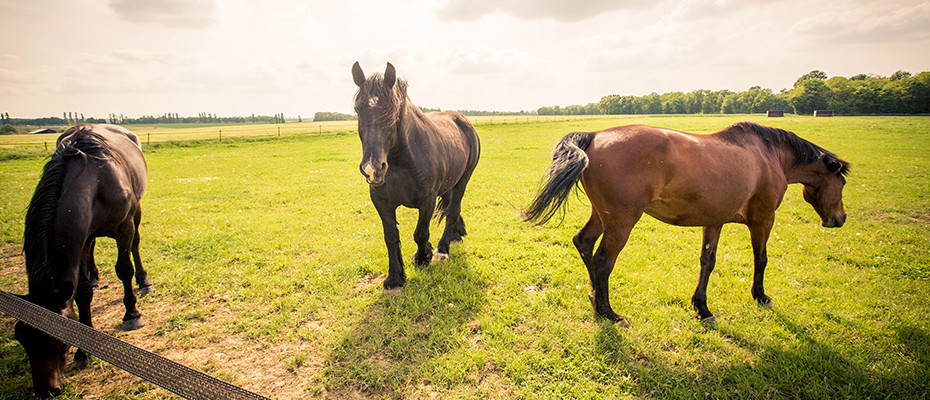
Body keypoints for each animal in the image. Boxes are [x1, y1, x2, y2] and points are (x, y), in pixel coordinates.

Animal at [15, 123, 152, 397]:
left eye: (60, 335)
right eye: (21, 338)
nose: (46, 390)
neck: (94, 180)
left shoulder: (124, 226)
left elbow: (124, 269)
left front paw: (132, 314)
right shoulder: (81, 236)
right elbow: (81, 291)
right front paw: (83, 350)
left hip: (135, 213)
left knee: (134, 246)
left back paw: (143, 282)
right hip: (90, 236)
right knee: (91, 259)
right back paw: (96, 278)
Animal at [351, 62, 481, 290]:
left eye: (393, 110)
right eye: (358, 109)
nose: (372, 168)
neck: (399, 161)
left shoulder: (427, 200)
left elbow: (420, 233)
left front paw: (423, 257)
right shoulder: (381, 201)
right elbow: (391, 236)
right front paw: (395, 277)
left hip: (462, 181)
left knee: (453, 210)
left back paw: (443, 249)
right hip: (449, 183)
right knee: (449, 207)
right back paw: (456, 234)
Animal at [523, 122, 849, 327]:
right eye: (842, 182)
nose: (840, 218)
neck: (770, 156)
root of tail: (594, 136)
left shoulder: (714, 221)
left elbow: (708, 262)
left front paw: (702, 308)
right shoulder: (763, 219)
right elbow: (761, 258)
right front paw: (761, 296)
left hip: (601, 216)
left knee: (584, 243)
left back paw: (594, 297)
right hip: (620, 221)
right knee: (603, 261)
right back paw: (608, 313)